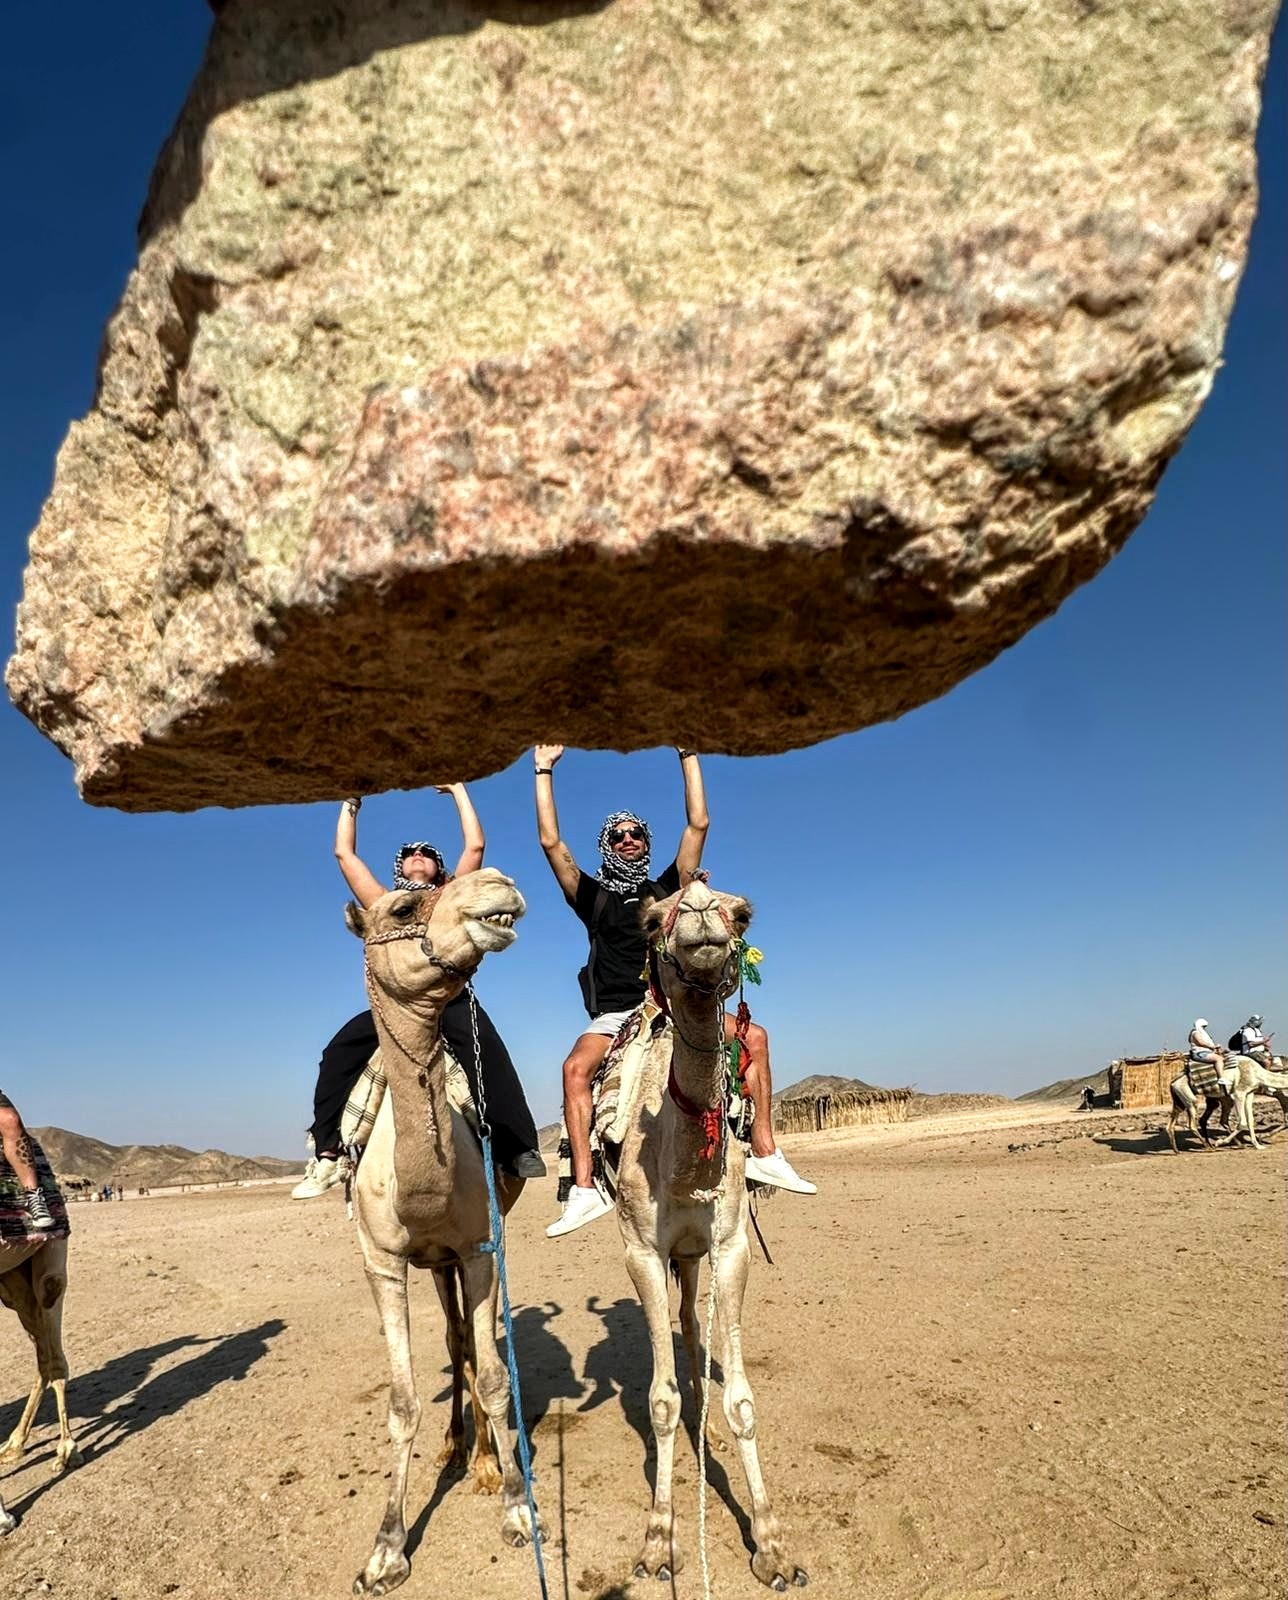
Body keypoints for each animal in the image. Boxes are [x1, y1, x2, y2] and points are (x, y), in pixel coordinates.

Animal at [0, 1228, 78, 1529]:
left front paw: (4, 1517)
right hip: (12, 1282)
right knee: (43, 1359)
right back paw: (13, 1445)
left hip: (48, 1265)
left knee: (53, 1362)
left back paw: (66, 1452)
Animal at [342, 870, 537, 1593]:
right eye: (402, 906)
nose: (497, 883)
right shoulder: (385, 1261)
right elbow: (402, 1402)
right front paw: (385, 1550)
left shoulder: (479, 1248)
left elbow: (495, 1378)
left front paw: (515, 1504)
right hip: (432, 1264)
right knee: (455, 1338)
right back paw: (457, 1447)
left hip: (460, 1255)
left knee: (472, 1345)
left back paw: (480, 1458)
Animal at [614, 883, 803, 1593]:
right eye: (651, 919)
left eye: (741, 910)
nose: (697, 908)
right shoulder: (643, 1251)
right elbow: (660, 1402)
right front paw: (658, 1540)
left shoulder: (729, 1248)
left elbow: (743, 1401)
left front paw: (773, 1548)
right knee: (685, 1333)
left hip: (696, 1257)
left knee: (694, 1329)